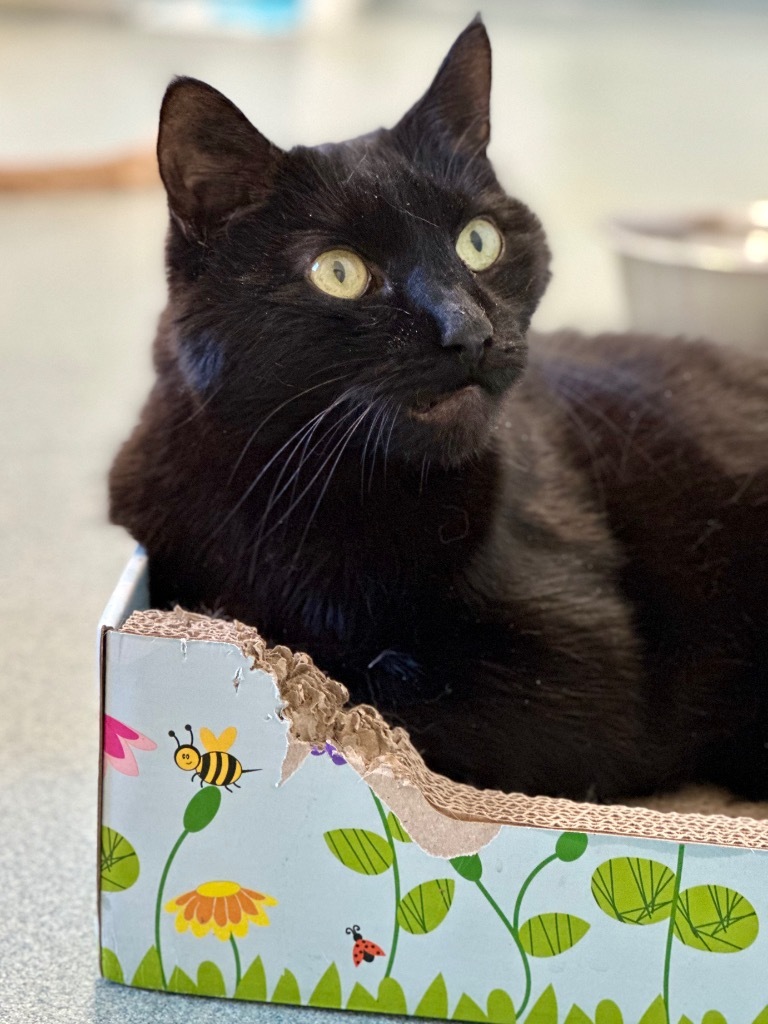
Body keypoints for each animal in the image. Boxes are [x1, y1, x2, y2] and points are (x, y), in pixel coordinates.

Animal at [109, 18, 768, 798]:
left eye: (478, 240)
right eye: (338, 272)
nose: (469, 329)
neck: (330, 499)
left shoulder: (577, 674)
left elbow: (375, 697)